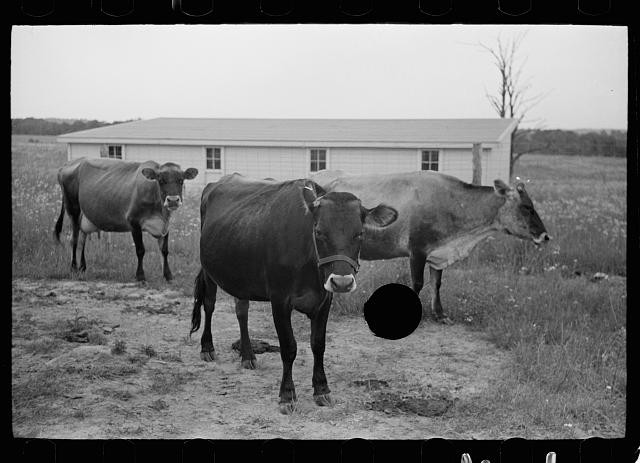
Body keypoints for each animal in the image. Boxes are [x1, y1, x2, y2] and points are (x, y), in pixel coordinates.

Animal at [54, 157, 198, 281]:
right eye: (161, 180)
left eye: (181, 180)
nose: (173, 200)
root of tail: (67, 164)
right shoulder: (133, 222)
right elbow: (140, 250)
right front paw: (140, 276)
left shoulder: (165, 226)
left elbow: (164, 251)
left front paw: (168, 275)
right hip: (73, 209)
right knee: (74, 240)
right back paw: (73, 268)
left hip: (85, 215)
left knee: (82, 239)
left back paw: (83, 267)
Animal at [190, 173, 398, 414]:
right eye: (318, 232)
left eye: (360, 233)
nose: (342, 282)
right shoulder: (280, 300)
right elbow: (289, 347)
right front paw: (287, 395)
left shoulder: (325, 299)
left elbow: (318, 345)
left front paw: (321, 389)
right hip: (209, 270)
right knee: (209, 304)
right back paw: (207, 347)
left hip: (241, 275)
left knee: (242, 311)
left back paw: (248, 355)